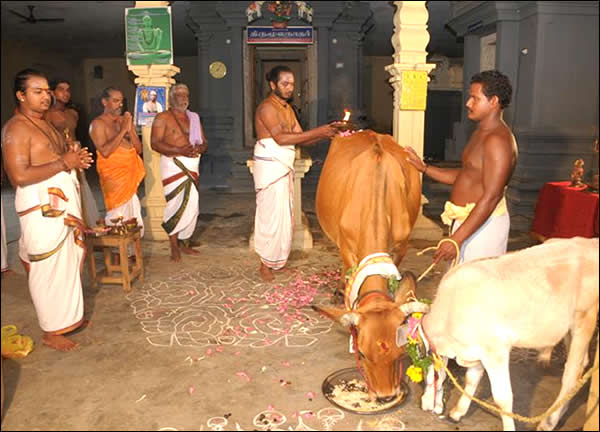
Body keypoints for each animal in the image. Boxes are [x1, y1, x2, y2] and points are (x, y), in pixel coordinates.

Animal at [400, 236, 599, 431]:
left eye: (426, 372)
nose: (424, 406)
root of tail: (590, 244)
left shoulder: (496, 350)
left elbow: (503, 398)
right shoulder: (478, 350)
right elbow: (471, 380)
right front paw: (457, 412)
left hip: (584, 319)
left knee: (571, 375)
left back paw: (548, 422)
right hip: (568, 329)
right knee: (582, 365)